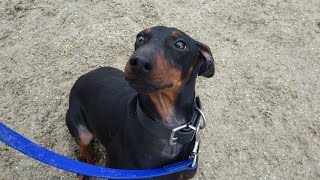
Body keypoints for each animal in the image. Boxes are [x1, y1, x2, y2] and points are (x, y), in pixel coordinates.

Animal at [65, 26, 215, 179]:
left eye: (180, 45)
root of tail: (82, 78)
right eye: (140, 38)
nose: (139, 62)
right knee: (84, 144)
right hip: (79, 126)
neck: (166, 129)